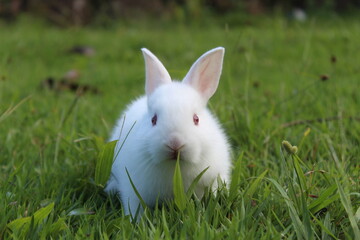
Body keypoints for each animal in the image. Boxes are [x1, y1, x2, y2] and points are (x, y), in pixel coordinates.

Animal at [105, 47, 232, 218]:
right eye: (153, 120)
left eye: (196, 119)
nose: (175, 143)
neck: (175, 168)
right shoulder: (132, 189)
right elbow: (135, 207)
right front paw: (136, 222)